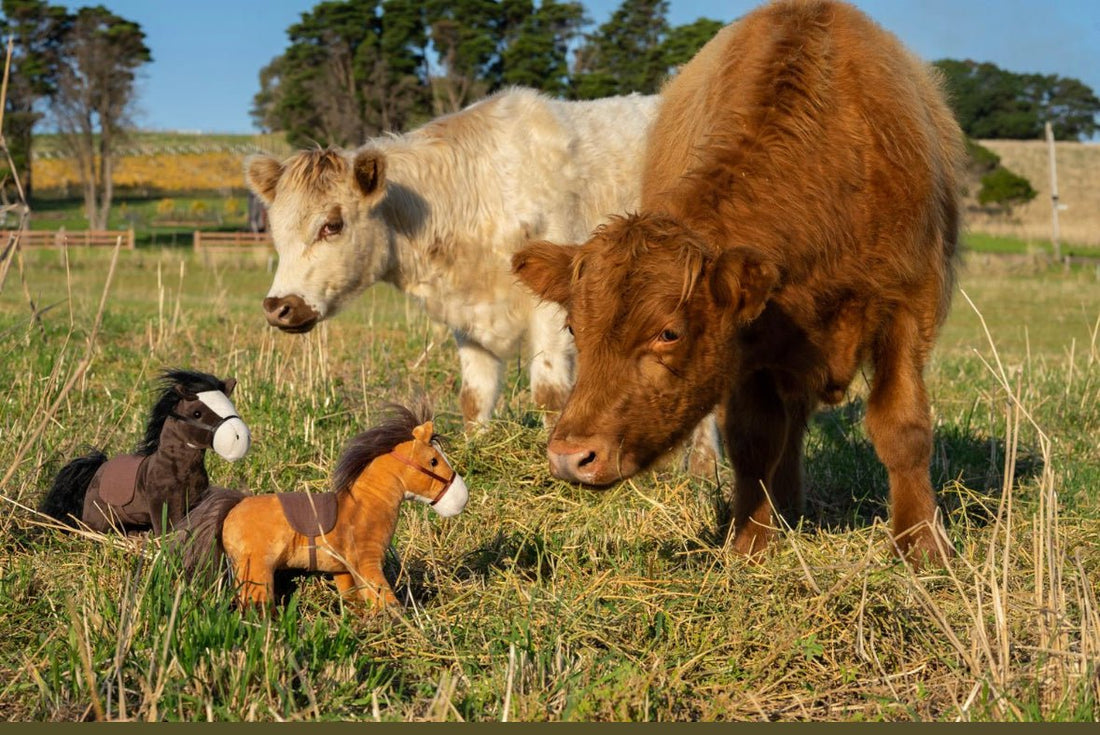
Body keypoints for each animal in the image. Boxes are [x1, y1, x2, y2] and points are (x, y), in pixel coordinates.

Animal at [512, 0, 963, 567]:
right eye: (574, 327)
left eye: (668, 332)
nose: (571, 457)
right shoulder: (753, 349)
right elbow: (754, 440)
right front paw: (749, 541)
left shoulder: (908, 307)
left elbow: (903, 426)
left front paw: (922, 542)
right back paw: (787, 507)